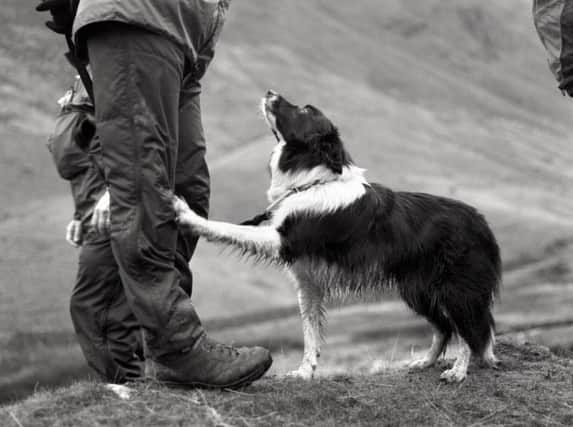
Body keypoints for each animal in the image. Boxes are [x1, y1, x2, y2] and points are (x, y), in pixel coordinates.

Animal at [175, 91, 500, 384]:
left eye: (305, 110)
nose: (270, 93)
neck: (312, 181)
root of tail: (481, 222)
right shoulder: (308, 281)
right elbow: (310, 332)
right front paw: (305, 373)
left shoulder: (284, 240)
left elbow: (229, 228)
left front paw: (187, 215)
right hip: (417, 289)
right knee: (446, 327)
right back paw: (426, 361)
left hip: (455, 290)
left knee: (470, 330)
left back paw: (458, 371)